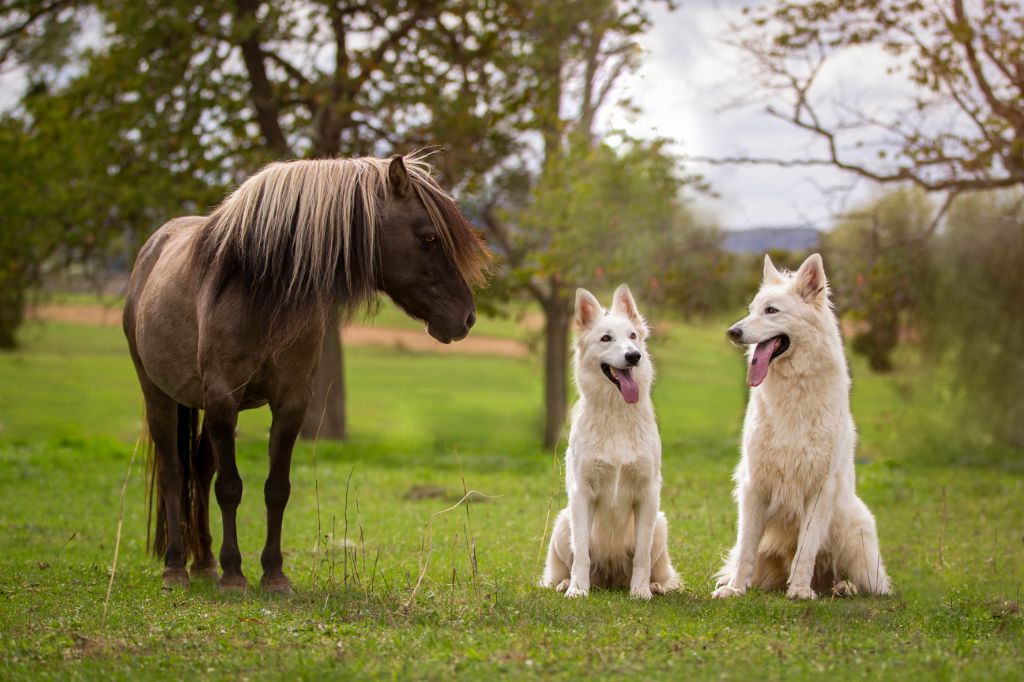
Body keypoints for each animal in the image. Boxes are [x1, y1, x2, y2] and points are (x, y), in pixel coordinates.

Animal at [123, 152, 491, 589]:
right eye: (429, 237)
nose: (466, 317)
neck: (259, 291)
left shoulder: (291, 402)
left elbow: (276, 488)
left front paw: (273, 574)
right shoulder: (223, 398)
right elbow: (229, 486)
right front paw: (234, 574)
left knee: (198, 470)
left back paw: (205, 562)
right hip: (160, 396)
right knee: (173, 474)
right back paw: (177, 566)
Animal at [544, 284, 679, 598]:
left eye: (632, 337)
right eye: (606, 338)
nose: (633, 356)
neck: (616, 414)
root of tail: (610, 579)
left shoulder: (647, 494)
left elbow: (641, 554)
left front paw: (640, 592)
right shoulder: (582, 493)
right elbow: (581, 552)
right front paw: (578, 590)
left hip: (660, 524)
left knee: (659, 569)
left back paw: (655, 585)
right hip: (563, 522)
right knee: (563, 566)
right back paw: (567, 582)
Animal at [712, 251, 888, 598]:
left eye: (771, 311)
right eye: (751, 309)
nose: (732, 332)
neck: (793, 392)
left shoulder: (819, 488)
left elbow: (806, 548)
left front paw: (800, 591)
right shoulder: (755, 485)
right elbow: (746, 548)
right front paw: (736, 589)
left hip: (855, 537)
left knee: (861, 580)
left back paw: (841, 587)